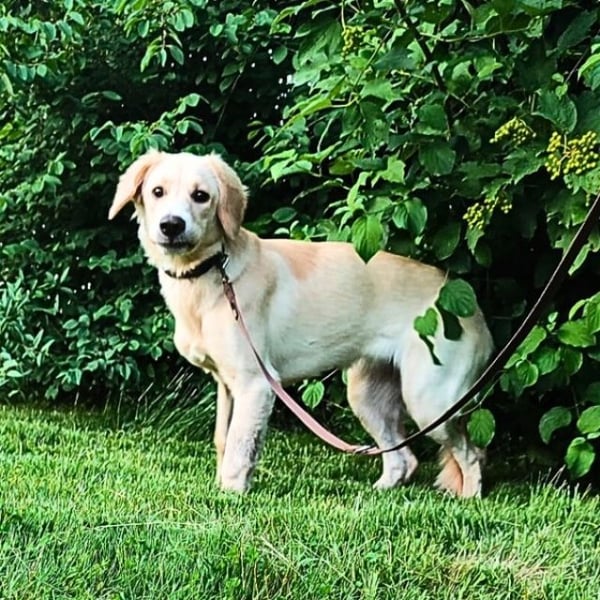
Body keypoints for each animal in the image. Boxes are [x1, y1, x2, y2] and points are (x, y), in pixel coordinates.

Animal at [109, 150, 494, 496]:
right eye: (157, 191)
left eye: (201, 196)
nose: (171, 225)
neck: (213, 272)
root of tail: (473, 305)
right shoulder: (227, 385)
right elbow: (223, 440)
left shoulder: (255, 384)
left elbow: (237, 449)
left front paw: (230, 497)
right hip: (367, 395)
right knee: (404, 458)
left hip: (430, 401)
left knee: (473, 454)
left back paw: (468, 500)